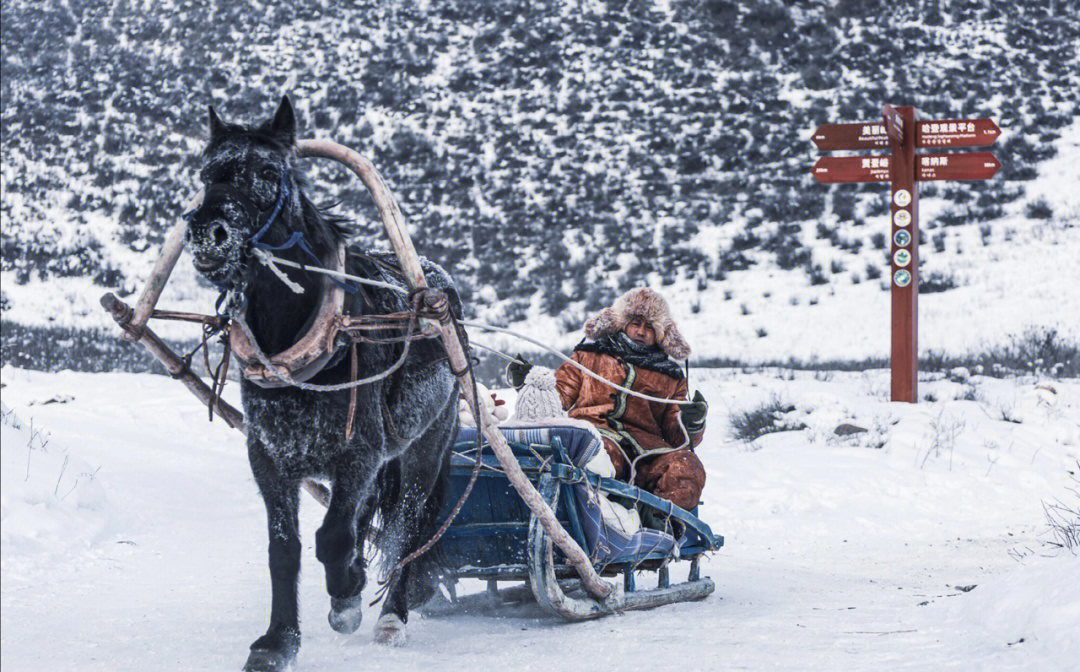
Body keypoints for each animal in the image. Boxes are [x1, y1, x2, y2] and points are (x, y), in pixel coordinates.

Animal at [182, 96, 460, 672]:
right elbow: (284, 549)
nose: (207, 233)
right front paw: (278, 641)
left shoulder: (359, 453)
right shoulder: (269, 457)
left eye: (269, 172)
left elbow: (332, 537)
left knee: (409, 529)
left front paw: (347, 595)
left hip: (424, 452)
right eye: (204, 174)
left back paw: (392, 616)